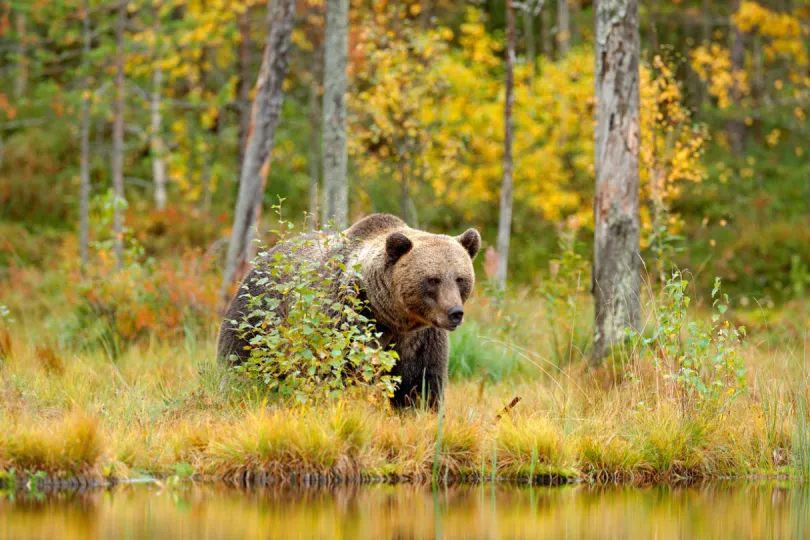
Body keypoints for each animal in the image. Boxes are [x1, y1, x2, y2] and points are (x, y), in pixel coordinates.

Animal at [216, 213, 480, 408]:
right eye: (433, 279)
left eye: (460, 278)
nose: (455, 312)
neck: (389, 315)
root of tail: (266, 254)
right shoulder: (345, 317)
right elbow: (334, 371)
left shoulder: (420, 337)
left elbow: (420, 383)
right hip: (259, 313)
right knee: (240, 357)